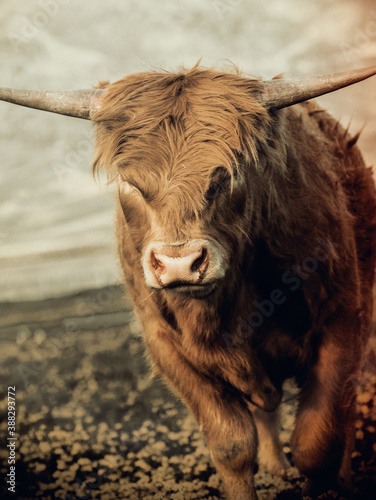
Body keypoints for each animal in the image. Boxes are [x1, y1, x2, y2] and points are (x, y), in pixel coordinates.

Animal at [1, 63, 374, 500]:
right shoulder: (166, 345)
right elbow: (232, 446)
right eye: (129, 183)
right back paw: (274, 468)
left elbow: (319, 445)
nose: (179, 264)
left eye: (229, 174)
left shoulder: (341, 321)